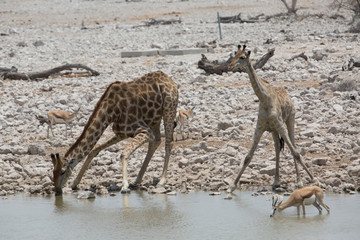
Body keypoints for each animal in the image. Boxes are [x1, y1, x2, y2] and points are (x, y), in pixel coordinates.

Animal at [50, 71, 179, 195]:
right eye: (53, 172)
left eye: (62, 171)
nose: (57, 190)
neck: (112, 111)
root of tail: (169, 79)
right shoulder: (121, 133)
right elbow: (94, 150)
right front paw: (75, 183)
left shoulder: (144, 131)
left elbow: (124, 153)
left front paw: (124, 186)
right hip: (155, 118)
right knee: (156, 141)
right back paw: (137, 180)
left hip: (169, 109)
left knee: (168, 142)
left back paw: (162, 180)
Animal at [226, 44, 320, 193]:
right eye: (234, 54)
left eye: (242, 57)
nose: (229, 66)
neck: (265, 100)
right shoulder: (260, 128)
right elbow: (247, 157)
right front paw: (232, 186)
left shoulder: (280, 125)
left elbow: (296, 153)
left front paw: (314, 179)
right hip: (274, 131)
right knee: (277, 149)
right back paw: (276, 182)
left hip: (290, 120)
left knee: (293, 146)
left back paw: (298, 181)